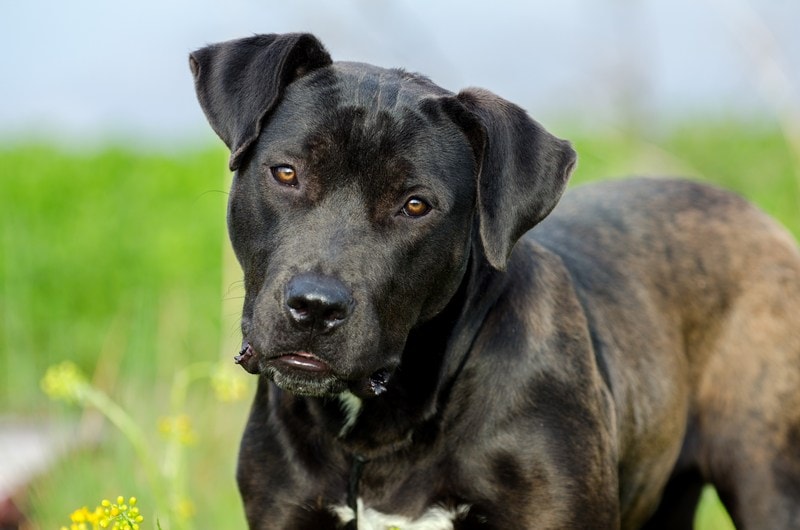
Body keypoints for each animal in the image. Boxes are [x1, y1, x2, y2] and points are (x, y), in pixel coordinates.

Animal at [191, 34, 800, 528]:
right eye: (286, 173)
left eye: (416, 205)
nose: (316, 306)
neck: (382, 431)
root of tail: (758, 217)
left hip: (769, 486)